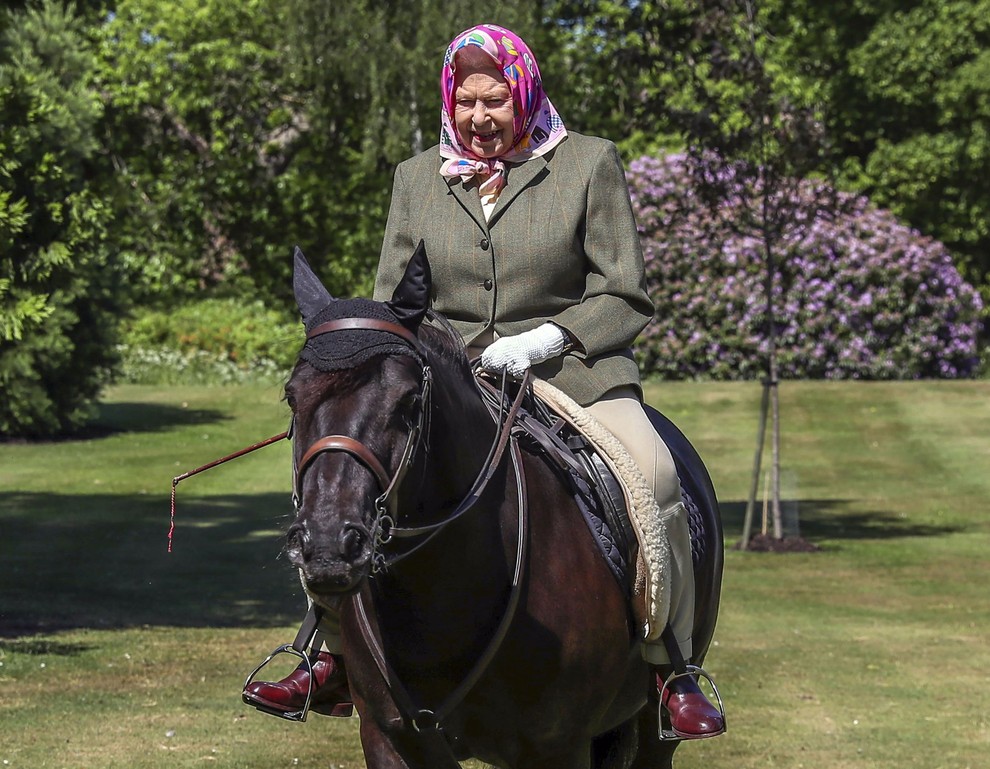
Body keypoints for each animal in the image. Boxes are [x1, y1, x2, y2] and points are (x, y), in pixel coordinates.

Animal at [282, 248, 724, 768]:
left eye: (408, 400)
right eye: (292, 396)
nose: (330, 544)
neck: (441, 591)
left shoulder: (556, 748)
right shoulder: (389, 738)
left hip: (656, 726)